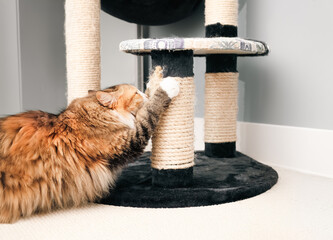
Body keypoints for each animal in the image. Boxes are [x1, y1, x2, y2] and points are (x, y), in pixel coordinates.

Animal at [0, 66, 179, 223]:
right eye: (136, 93)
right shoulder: (128, 140)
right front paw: (168, 85)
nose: (143, 94)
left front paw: (153, 81)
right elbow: (150, 112)